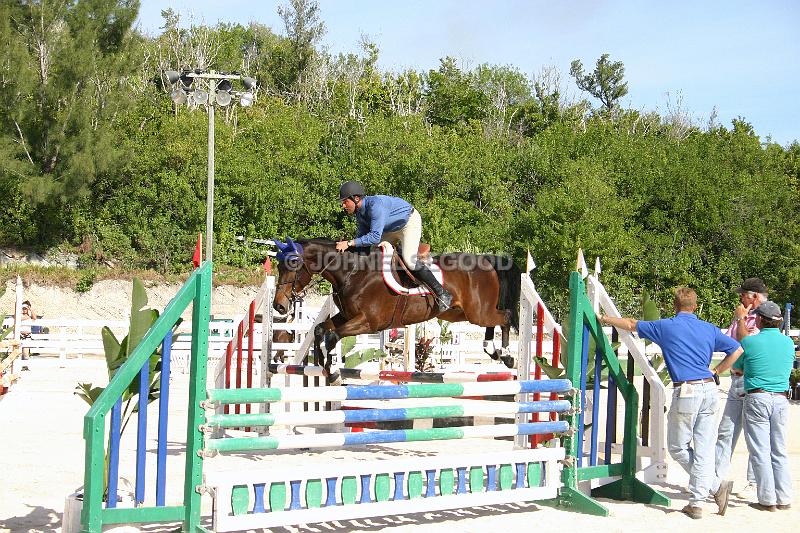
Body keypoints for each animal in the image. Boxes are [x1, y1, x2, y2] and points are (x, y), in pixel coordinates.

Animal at [272, 238, 520, 382]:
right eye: (278, 265)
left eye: (293, 263)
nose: (279, 306)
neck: (353, 272)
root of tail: (487, 260)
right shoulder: (346, 316)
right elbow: (320, 329)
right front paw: (324, 365)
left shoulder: (369, 322)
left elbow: (332, 335)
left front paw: (332, 371)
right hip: (461, 313)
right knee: (493, 322)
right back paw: (492, 350)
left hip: (477, 312)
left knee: (505, 317)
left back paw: (508, 356)